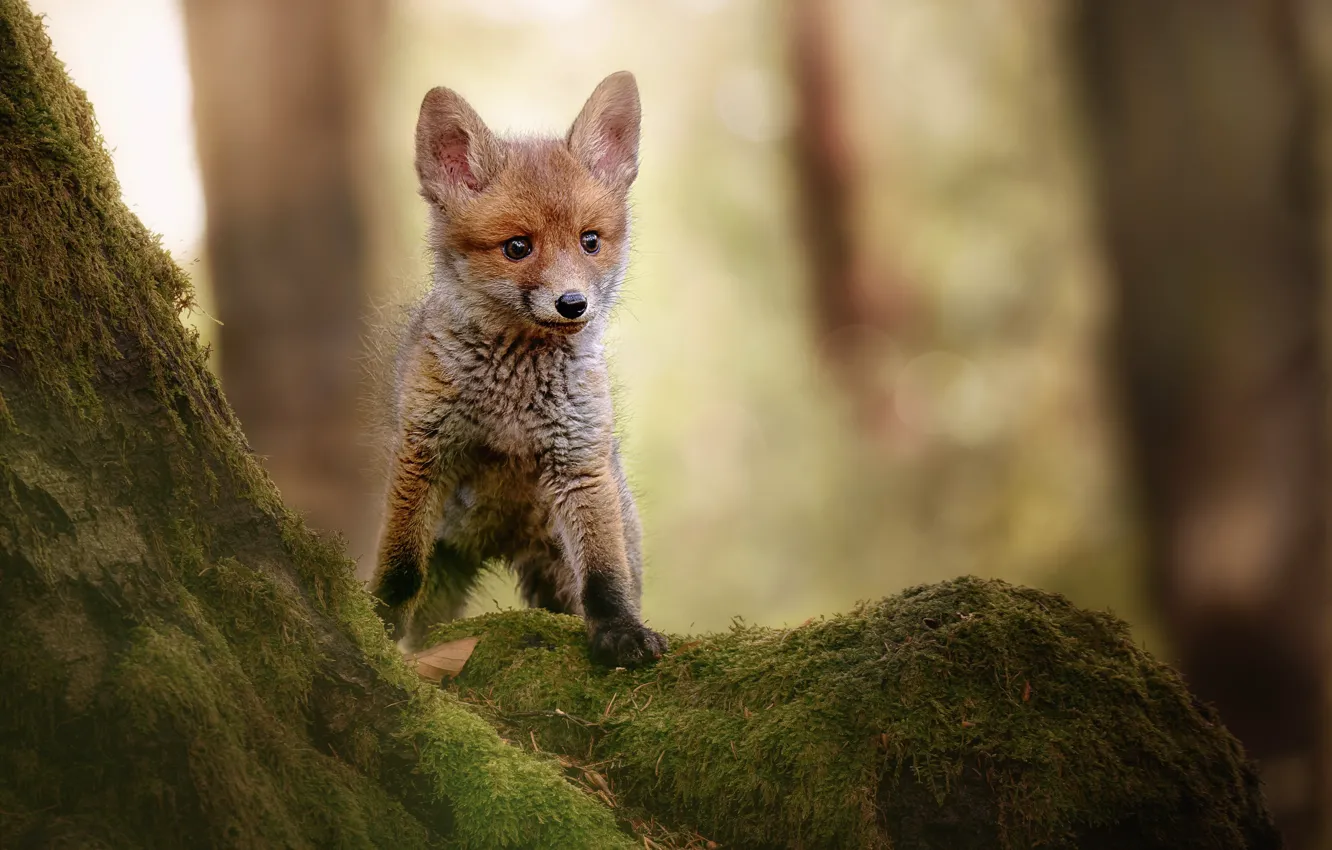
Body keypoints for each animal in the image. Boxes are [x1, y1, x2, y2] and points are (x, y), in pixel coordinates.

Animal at [368, 71, 668, 669]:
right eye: (517, 247)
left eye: (590, 241)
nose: (573, 304)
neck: (513, 393)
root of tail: (501, 542)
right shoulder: (423, 449)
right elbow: (400, 568)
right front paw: (378, 622)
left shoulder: (578, 460)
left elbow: (605, 577)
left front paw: (620, 631)